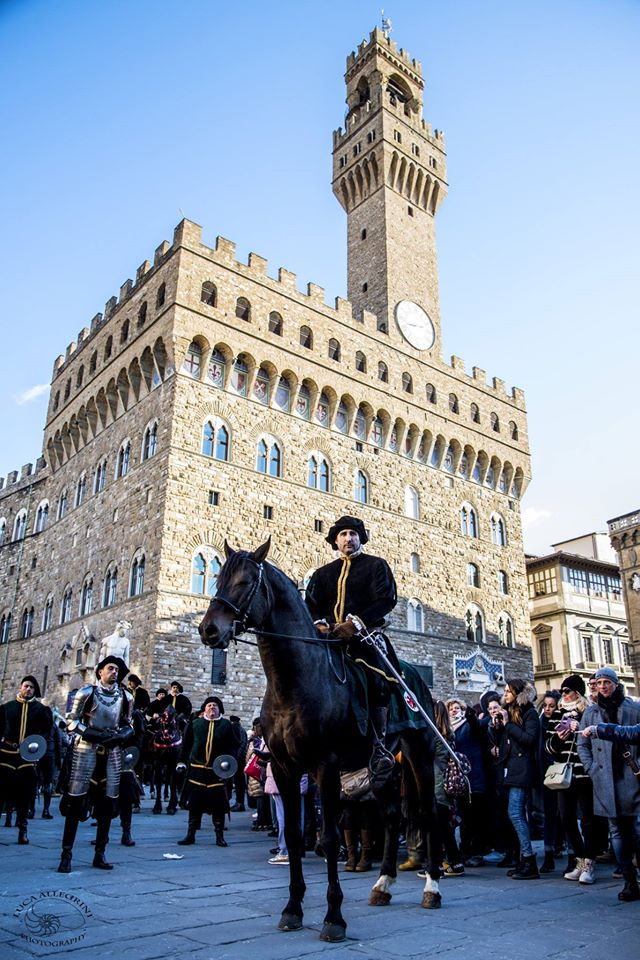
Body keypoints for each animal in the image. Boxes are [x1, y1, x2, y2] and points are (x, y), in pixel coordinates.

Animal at [200, 544, 440, 940]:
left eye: (247, 581)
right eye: (218, 578)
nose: (208, 629)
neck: (296, 681)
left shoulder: (324, 767)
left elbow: (328, 838)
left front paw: (334, 917)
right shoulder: (284, 769)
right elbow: (295, 835)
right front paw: (292, 909)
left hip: (419, 752)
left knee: (425, 812)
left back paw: (432, 887)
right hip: (384, 768)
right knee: (392, 816)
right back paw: (383, 884)